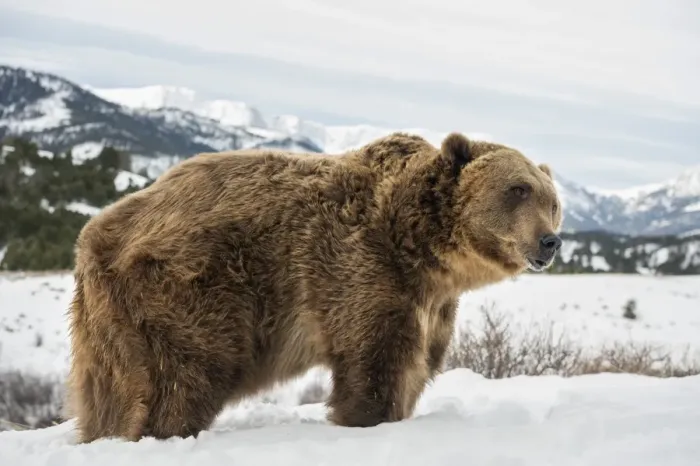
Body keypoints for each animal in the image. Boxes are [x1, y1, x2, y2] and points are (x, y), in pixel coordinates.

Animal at [63, 131, 563, 443]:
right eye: (517, 189)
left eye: (552, 201)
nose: (549, 240)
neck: (421, 248)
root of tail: (94, 235)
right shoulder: (360, 272)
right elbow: (374, 364)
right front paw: (366, 419)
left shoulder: (431, 304)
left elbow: (417, 365)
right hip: (188, 291)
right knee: (182, 379)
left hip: (108, 322)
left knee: (109, 393)